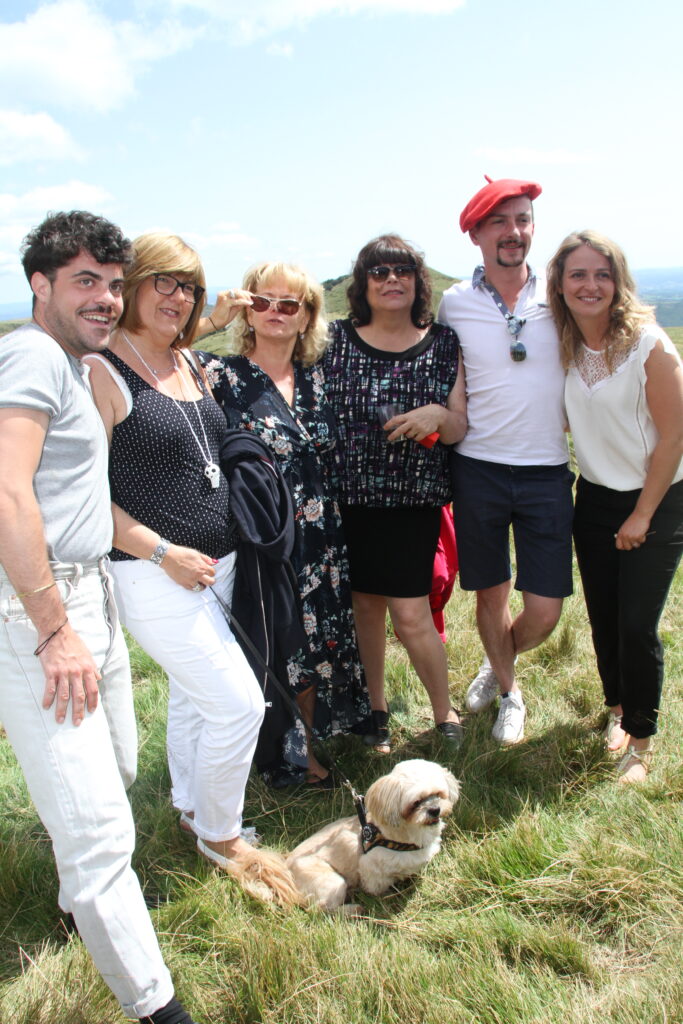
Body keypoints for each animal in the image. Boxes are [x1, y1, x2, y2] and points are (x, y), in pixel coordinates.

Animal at [284, 761, 458, 913]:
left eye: (439, 794)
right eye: (416, 802)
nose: (434, 809)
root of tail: (286, 865)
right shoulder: (370, 867)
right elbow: (377, 888)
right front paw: (385, 896)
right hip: (332, 881)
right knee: (320, 909)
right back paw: (352, 909)